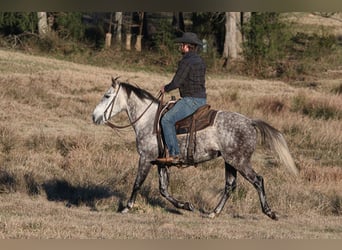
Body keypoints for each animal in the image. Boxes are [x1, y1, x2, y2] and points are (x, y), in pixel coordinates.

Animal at [92, 77, 298, 220]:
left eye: (107, 96)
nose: (94, 116)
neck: (149, 120)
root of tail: (250, 122)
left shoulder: (145, 158)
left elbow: (137, 183)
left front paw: (126, 207)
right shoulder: (160, 162)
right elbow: (164, 189)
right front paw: (186, 205)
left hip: (240, 161)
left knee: (257, 180)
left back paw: (270, 212)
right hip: (230, 161)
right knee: (229, 186)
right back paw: (213, 213)